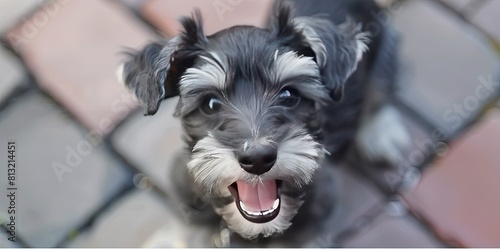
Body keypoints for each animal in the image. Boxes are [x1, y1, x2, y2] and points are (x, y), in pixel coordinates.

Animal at [117, 0, 410, 244]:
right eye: (210, 103)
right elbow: (187, 227)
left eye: (289, 95)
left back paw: (382, 133)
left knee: (382, 84)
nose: (257, 158)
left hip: (385, 44)